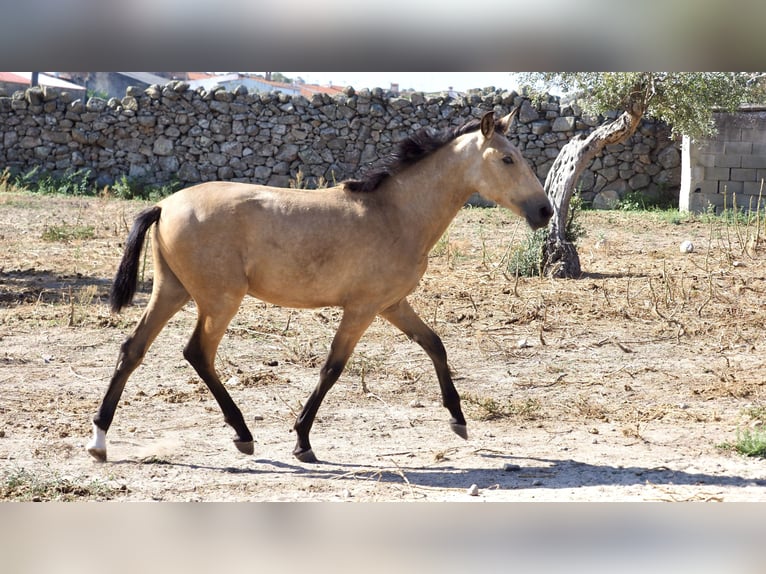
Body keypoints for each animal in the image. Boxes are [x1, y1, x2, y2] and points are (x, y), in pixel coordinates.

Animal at [88, 110, 552, 466]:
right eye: (508, 159)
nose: (545, 211)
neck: (395, 214)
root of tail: (165, 205)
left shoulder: (392, 304)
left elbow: (434, 344)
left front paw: (458, 420)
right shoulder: (362, 308)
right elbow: (333, 367)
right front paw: (302, 441)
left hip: (172, 291)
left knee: (132, 349)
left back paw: (99, 441)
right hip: (219, 301)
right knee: (197, 353)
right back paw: (243, 434)